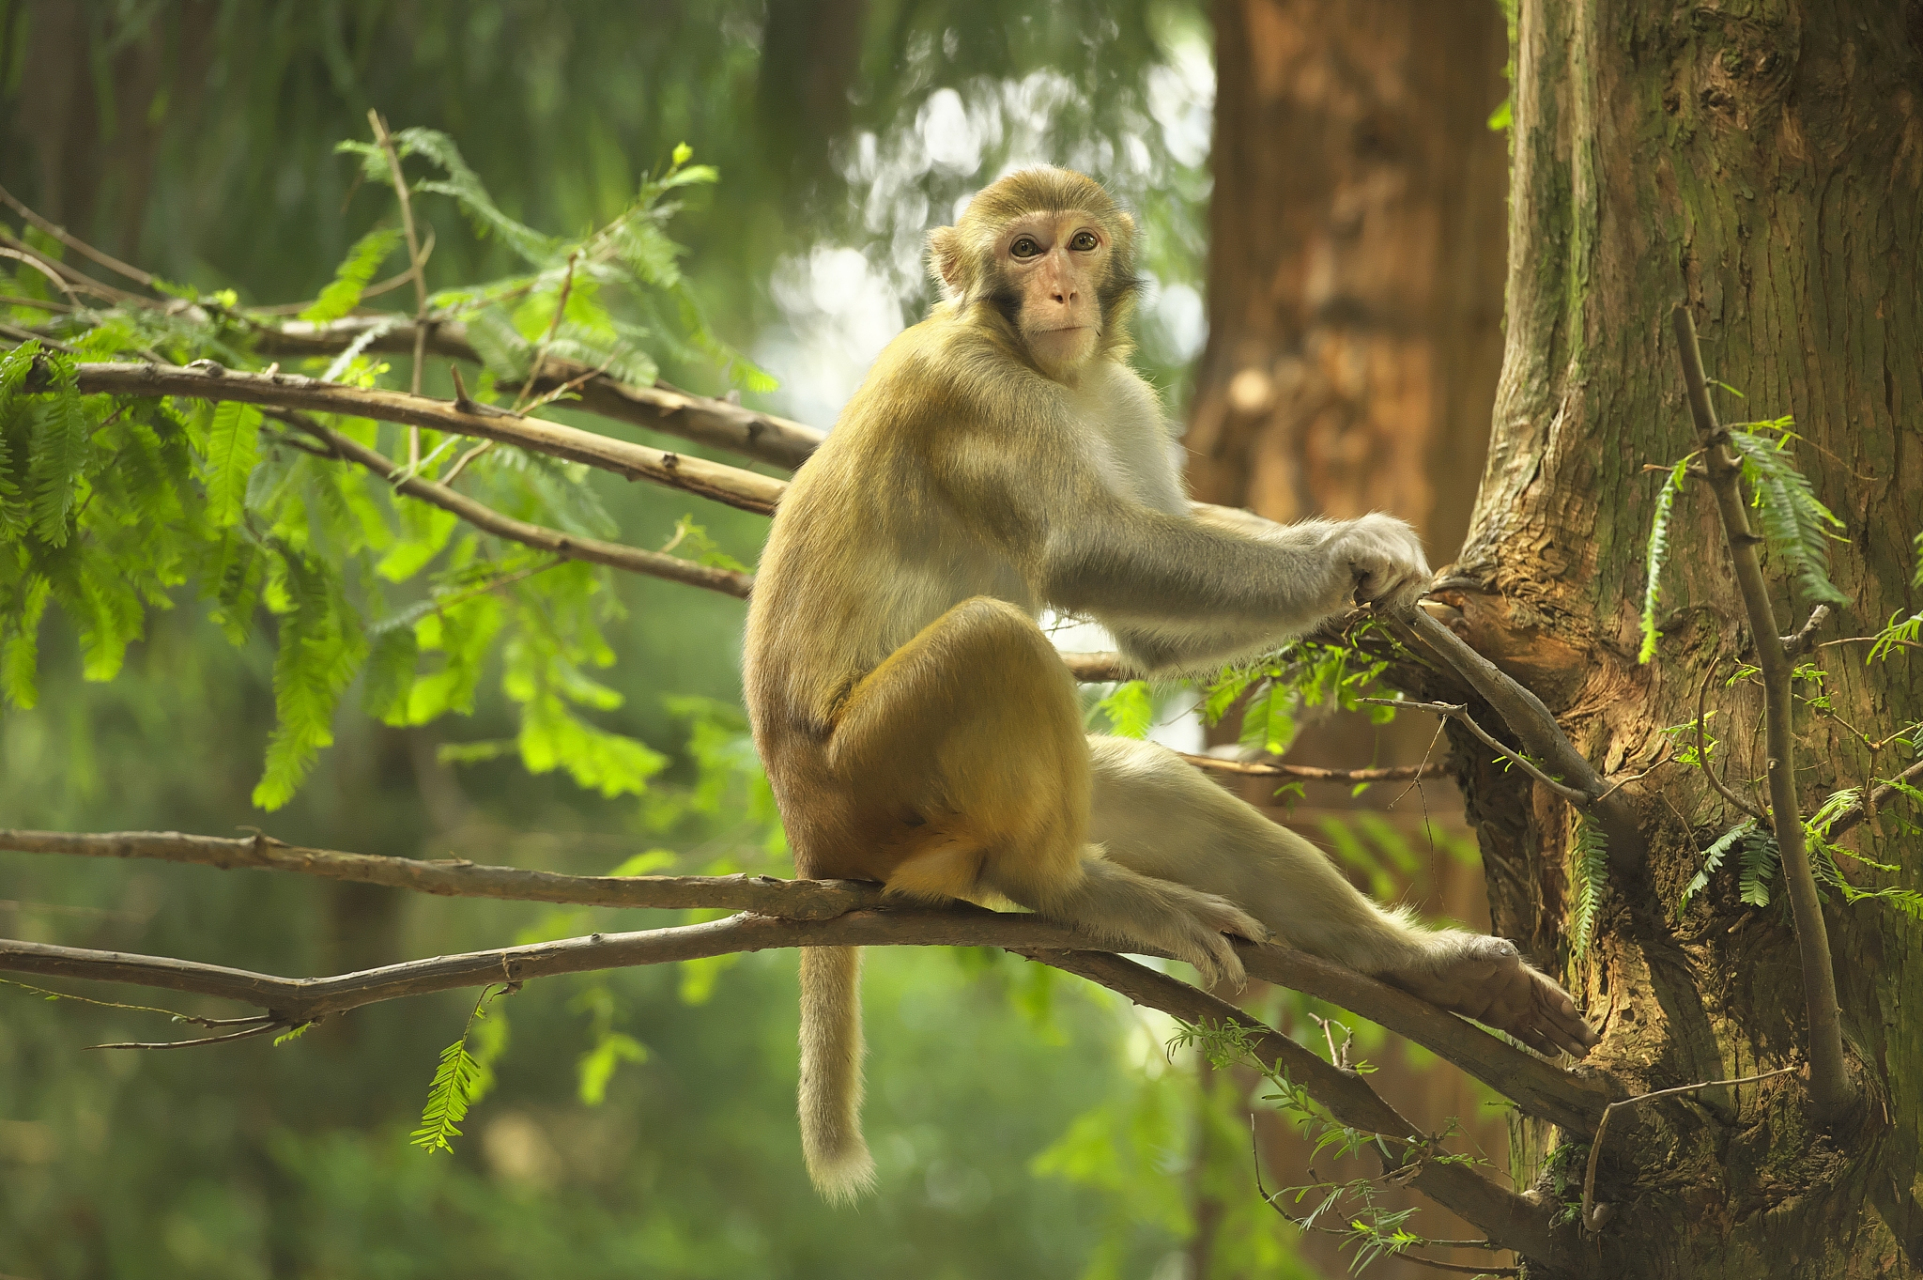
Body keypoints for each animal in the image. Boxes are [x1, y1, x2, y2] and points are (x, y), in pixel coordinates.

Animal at [742, 164, 1599, 1199]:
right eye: (1022, 250)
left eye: (1079, 243)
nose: (1060, 291)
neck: (1042, 366)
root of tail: (808, 842)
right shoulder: (973, 388)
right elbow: (1089, 549)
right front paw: (1345, 553)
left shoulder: (1115, 392)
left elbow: (1150, 626)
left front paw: (1351, 548)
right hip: (871, 783)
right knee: (994, 641)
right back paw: (1068, 888)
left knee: (1139, 780)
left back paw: (1422, 967)